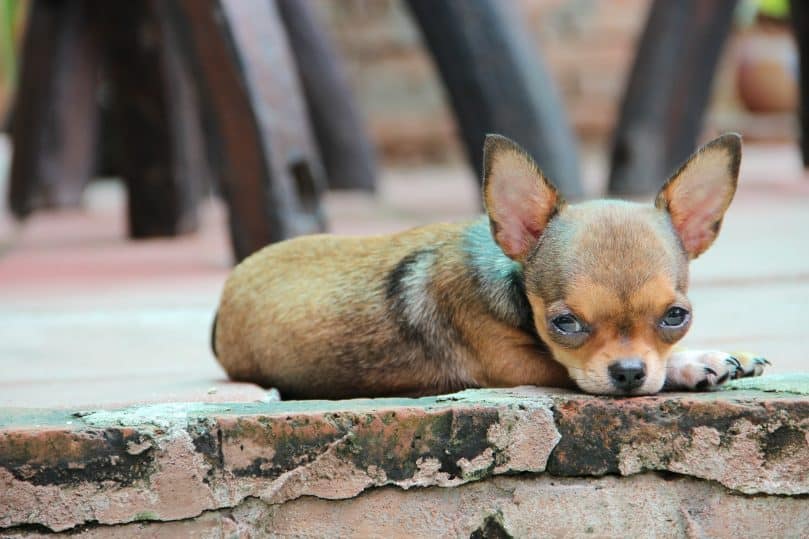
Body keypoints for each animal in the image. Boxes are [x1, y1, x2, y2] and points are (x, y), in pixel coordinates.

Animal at [211, 133, 768, 398]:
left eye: (676, 317)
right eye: (565, 323)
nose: (630, 372)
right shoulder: (522, 365)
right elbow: (571, 369)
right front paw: (692, 363)